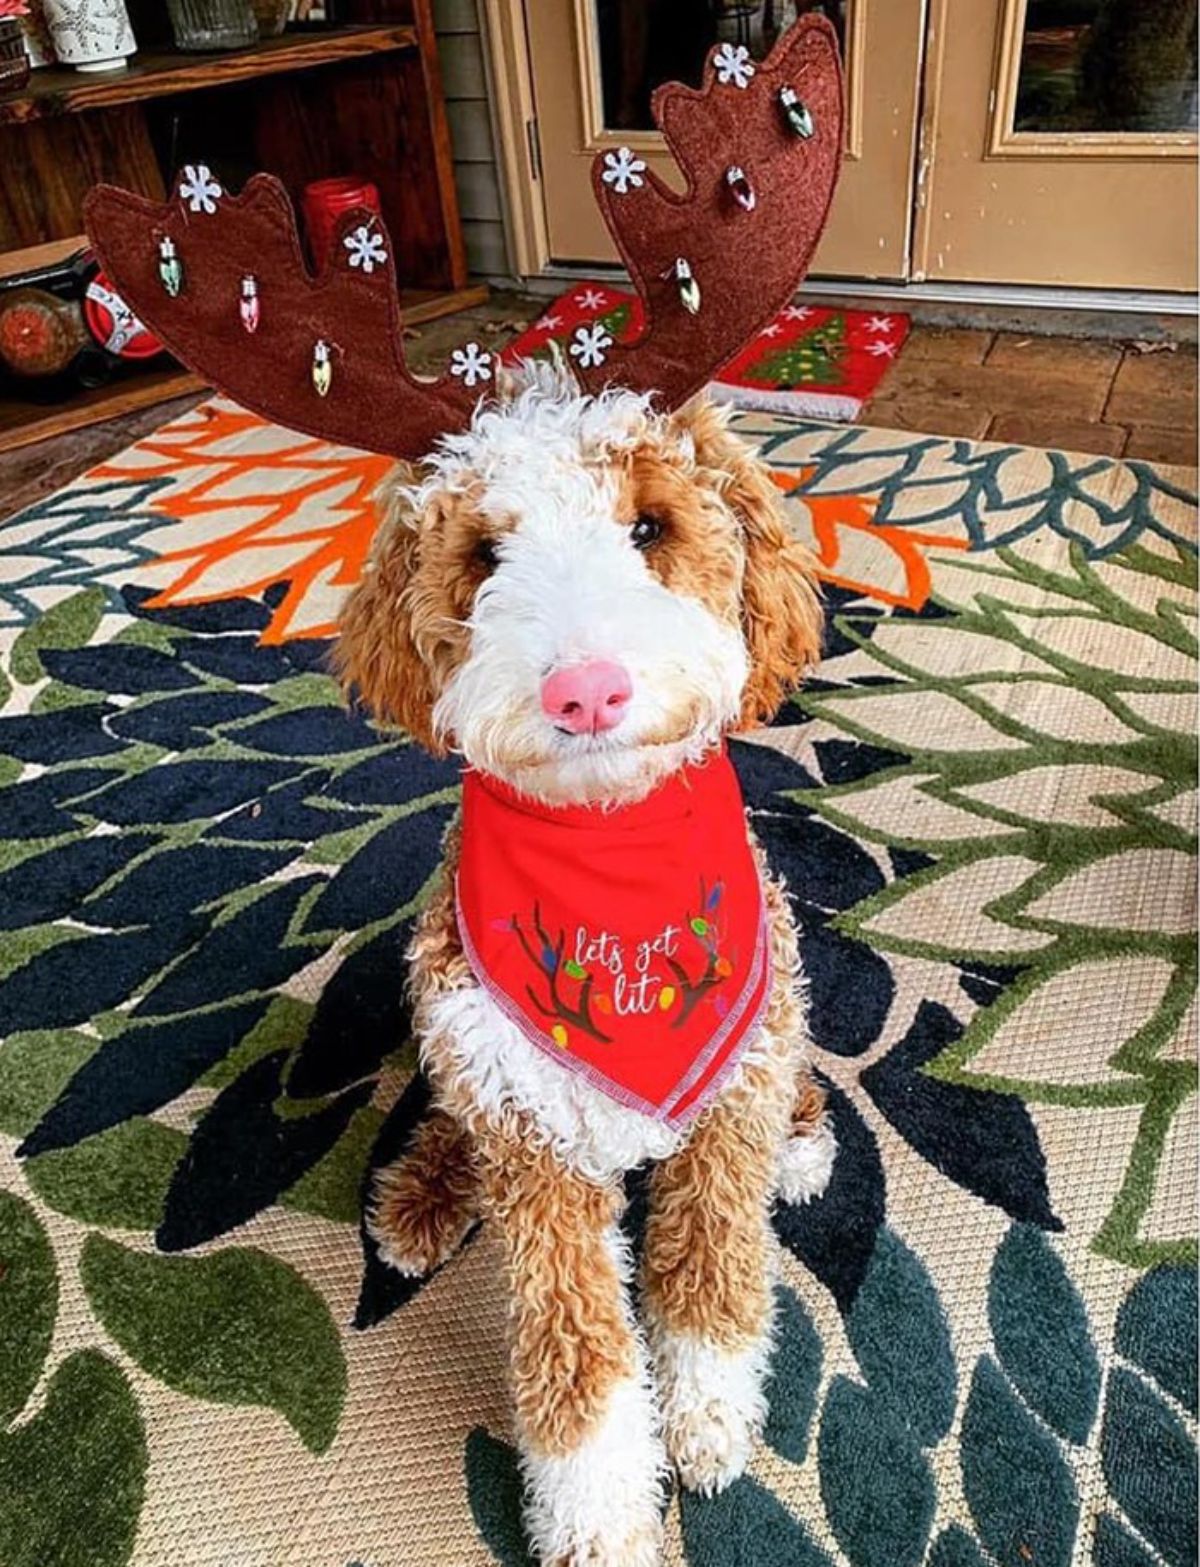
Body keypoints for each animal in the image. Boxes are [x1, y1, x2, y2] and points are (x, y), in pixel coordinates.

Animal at [333, 363, 839, 1567]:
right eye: (484, 554)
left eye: (649, 526)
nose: (587, 691)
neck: (607, 857)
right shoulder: (535, 1144)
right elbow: (578, 1349)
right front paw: (601, 1514)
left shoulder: (727, 1097)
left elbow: (709, 1273)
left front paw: (707, 1420)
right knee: (448, 1113)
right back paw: (423, 1191)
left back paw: (804, 1144)